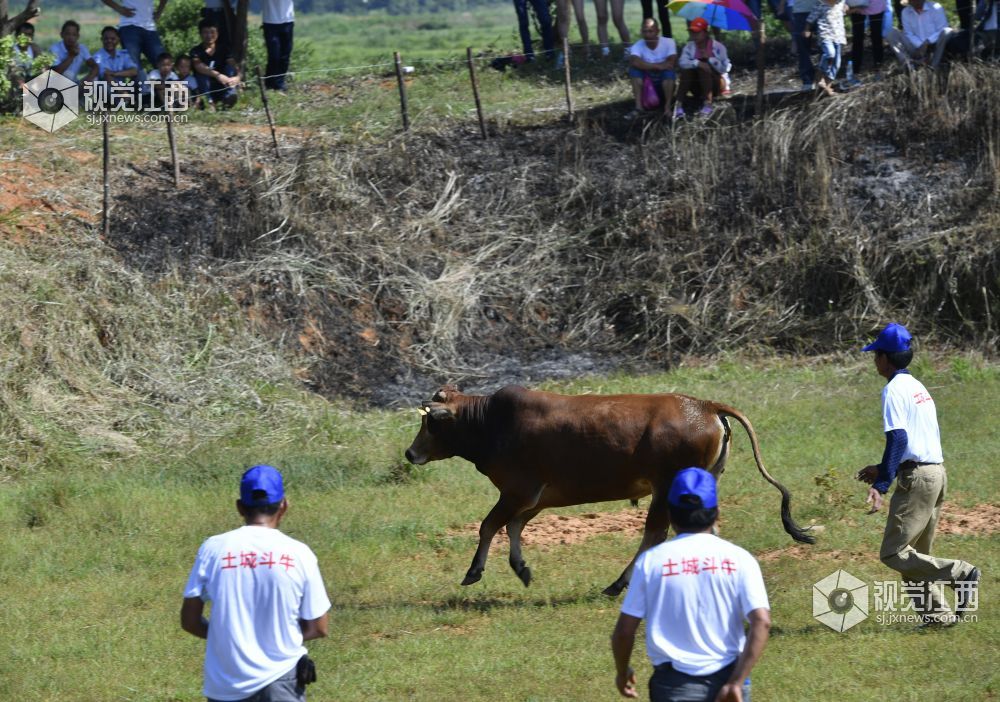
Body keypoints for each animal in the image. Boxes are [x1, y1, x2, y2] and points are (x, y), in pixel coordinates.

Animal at [404, 384, 812, 592]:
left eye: (431, 423)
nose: (410, 453)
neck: (490, 421)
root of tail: (704, 405)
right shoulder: (534, 499)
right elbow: (514, 527)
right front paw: (521, 568)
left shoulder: (518, 492)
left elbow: (490, 526)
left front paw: (474, 571)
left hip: (667, 487)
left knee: (655, 533)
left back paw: (619, 583)